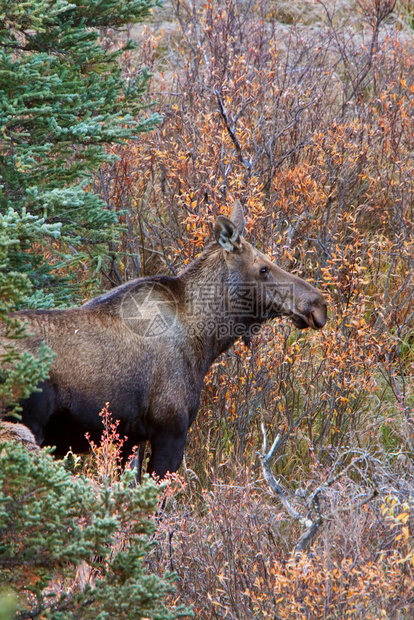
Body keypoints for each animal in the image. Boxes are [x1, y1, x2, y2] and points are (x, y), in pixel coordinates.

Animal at [2, 203, 326, 480]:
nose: (318, 304)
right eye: (263, 269)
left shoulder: (129, 439)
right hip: (25, 427)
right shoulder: (171, 429)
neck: (206, 340)